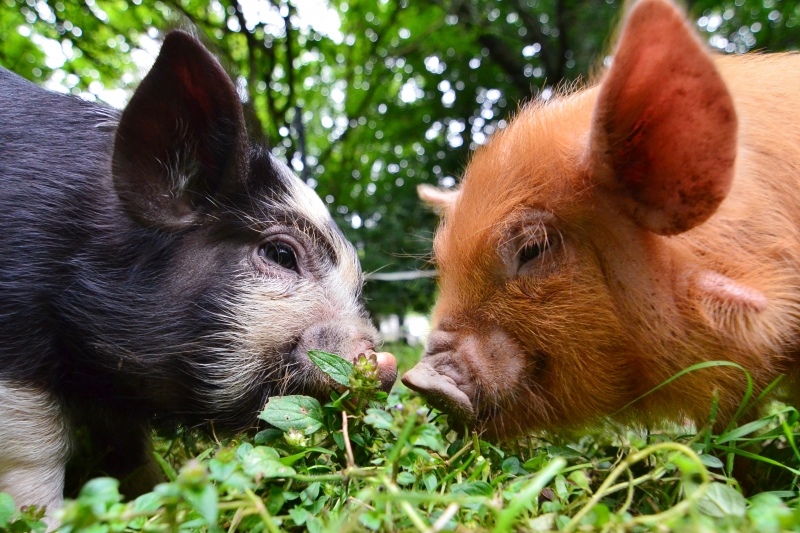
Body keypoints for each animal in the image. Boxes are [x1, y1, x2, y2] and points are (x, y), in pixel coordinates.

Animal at [0, 30, 396, 517]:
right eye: (281, 254)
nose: (385, 361)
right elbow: (35, 453)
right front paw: (51, 519)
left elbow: (129, 452)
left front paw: (153, 500)